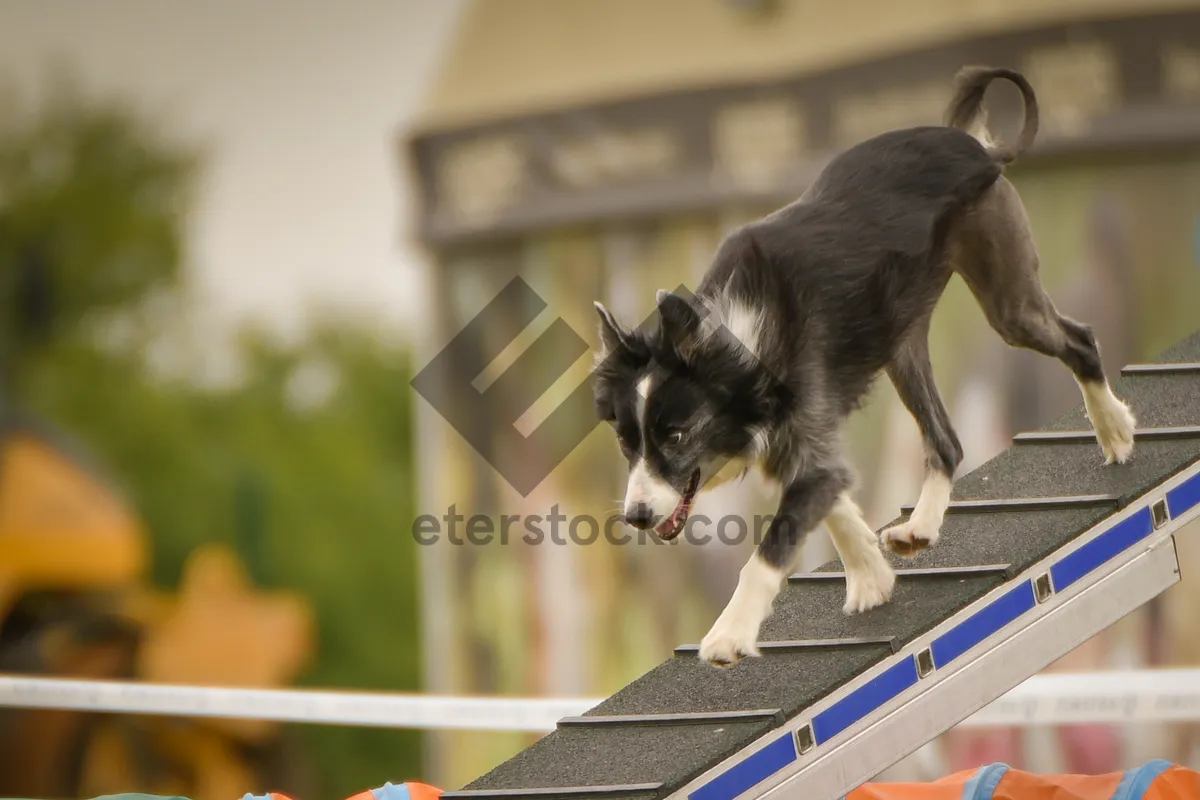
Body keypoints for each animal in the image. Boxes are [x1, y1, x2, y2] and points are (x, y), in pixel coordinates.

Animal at [590, 68, 1132, 671]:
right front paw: (872, 579)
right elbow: (837, 503)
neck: (740, 347)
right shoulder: (799, 447)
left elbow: (774, 543)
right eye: (627, 441)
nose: (636, 516)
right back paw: (919, 527)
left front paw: (728, 635)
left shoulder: (803, 439)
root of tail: (973, 145)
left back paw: (1115, 432)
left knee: (1079, 341)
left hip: (1007, 298)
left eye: (677, 435)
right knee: (946, 442)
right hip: (903, 345)